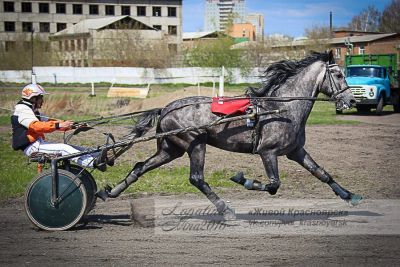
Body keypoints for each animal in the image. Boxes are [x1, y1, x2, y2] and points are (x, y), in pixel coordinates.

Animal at [97, 50, 360, 220]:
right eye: (339, 75)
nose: (351, 100)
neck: (281, 109)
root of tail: (165, 109)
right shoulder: (268, 152)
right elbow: (273, 184)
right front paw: (243, 180)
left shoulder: (295, 151)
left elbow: (321, 173)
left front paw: (349, 195)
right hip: (195, 143)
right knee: (196, 178)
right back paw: (226, 210)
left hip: (171, 149)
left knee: (140, 167)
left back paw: (109, 192)